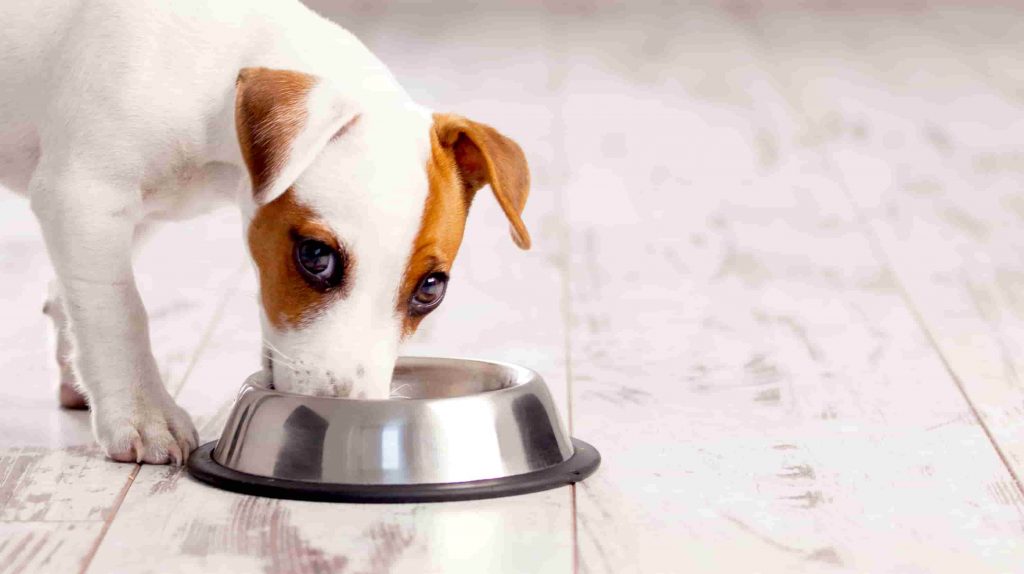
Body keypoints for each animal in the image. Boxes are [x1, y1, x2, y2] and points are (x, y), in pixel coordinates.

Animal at [0, 0, 528, 462]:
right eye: (316, 256)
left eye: (431, 289)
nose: (351, 411)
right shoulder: (84, 195)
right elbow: (118, 310)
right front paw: (143, 412)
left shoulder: (128, 216)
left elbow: (76, 296)